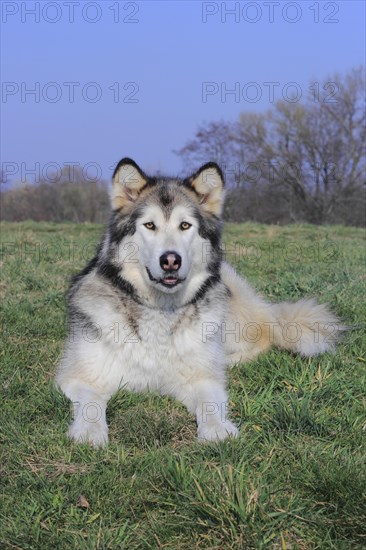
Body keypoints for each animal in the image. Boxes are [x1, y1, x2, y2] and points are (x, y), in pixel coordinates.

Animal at [55, 160, 344, 448]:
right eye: (149, 225)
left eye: (185, 225)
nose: (170, 260)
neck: (161, 309)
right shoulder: (81, 375)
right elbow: (92, 402)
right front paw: (89, 432)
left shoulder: (202, 377)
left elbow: (209, 400)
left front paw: (217, 429)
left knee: (264, 336)